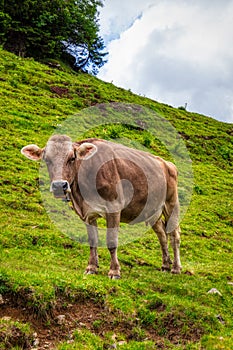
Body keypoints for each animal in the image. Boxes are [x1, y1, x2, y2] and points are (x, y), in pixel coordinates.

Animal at [21, 135, 182, 278]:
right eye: (47, 160)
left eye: (72, 158)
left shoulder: (114, 207)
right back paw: (165, 265)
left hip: (171, 203)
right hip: (153, 211)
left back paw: (176, 268)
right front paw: (91, 268)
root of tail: (167, 163)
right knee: (162, 234)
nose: (59, 185)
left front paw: (114, 271)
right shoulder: (86, 213)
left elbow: (111, 242)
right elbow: (93, 241)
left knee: (174, 235)